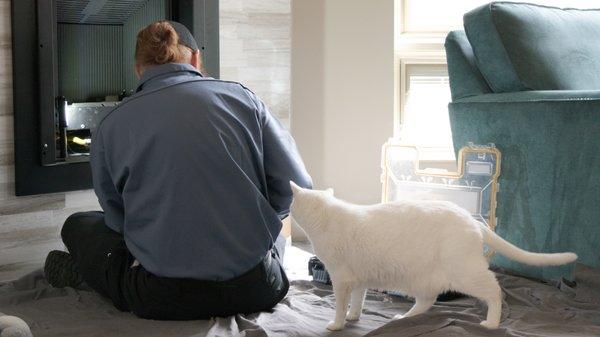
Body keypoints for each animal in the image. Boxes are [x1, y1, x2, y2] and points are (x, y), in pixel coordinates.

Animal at [290, 180, 576, 330]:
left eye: (292, 204)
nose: (286, 208)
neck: (327, 218)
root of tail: (469, 218)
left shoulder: (341, 279)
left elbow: (340, 304)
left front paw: (337, 324)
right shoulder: (358, 280)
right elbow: (357, 302)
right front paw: (353, 317)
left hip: (465, 273)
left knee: (496, 292)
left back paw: (492, 322)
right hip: (422, 280)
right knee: (427, 302)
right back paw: (404, 319)